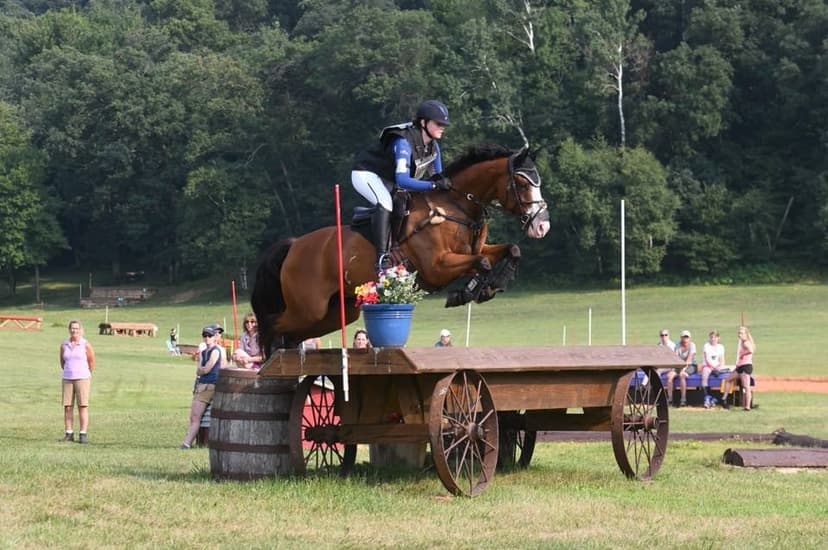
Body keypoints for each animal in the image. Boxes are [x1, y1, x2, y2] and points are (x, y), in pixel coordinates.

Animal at [252, 144, 550, 354]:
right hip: (308, 308)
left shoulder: (475, 250)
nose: (542, 226)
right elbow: (482, 263)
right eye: (522, 183)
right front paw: (466, 292)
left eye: (539, 182)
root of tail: (294, 246)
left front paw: (489, 287)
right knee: (273, 325)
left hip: (336, 312)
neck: (455, 207)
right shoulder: (437, 267)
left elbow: (510, 250)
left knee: (292, 334)